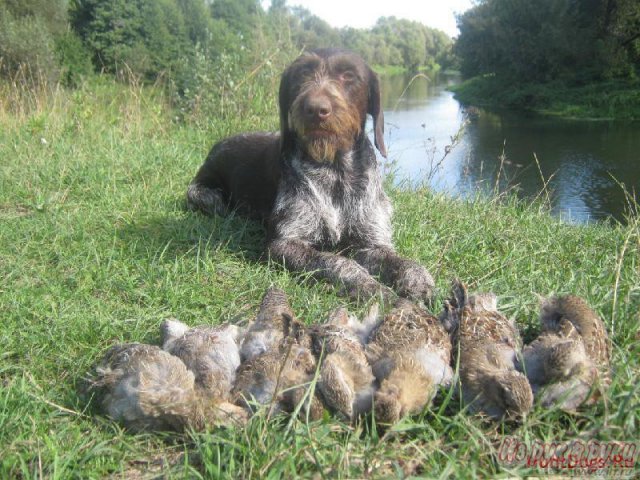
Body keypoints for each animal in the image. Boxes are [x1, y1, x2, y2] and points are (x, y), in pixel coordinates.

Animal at [186, 49, 436, 304]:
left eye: (348, 75)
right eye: (302, 74)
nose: (316, 108)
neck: (335, 170)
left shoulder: (371, 243)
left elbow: (403, 261)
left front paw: (418, 278)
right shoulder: (282, 244)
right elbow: (336, 262)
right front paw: (371, 287)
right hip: (205, 196)